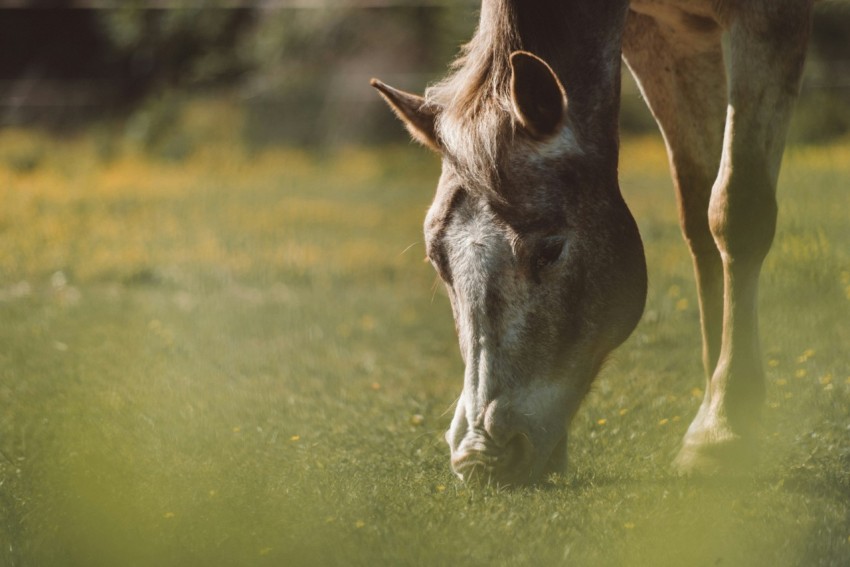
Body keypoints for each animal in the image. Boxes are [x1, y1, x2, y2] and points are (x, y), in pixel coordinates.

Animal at [371, 0, 814, 486]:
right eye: (438, 261)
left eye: (550, 250)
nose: (480, 457)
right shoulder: (665, 37)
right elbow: (700, 215)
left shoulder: (768, 20)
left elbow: (736, 213)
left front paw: (722, 429)